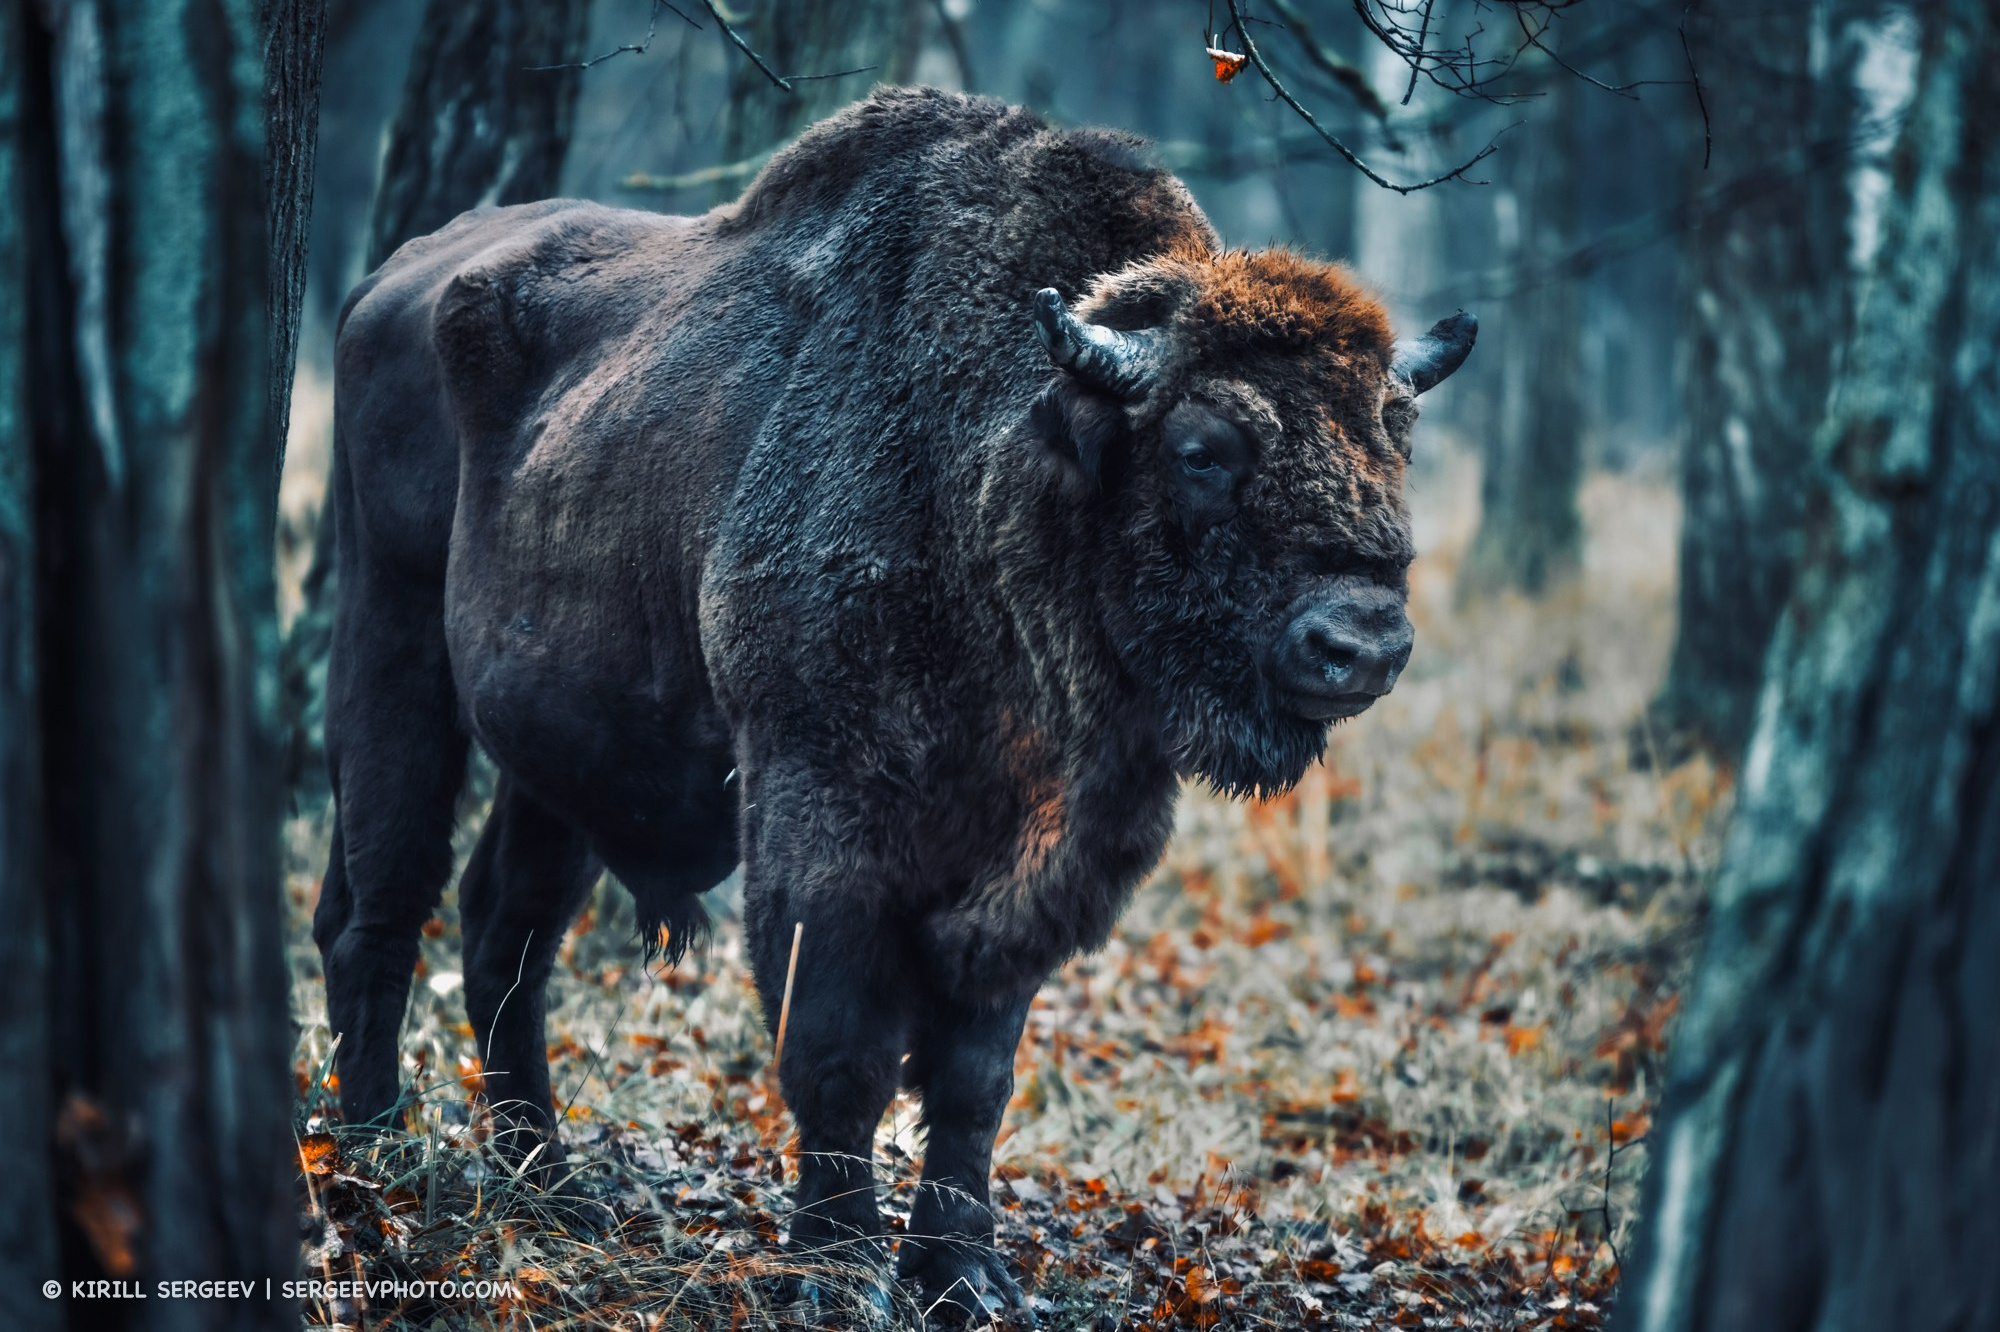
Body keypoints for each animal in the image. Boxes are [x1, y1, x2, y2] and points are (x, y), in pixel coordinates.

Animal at [315, 87, 1473, 1319]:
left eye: (1395, 434)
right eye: (1204, 446)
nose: (1360, 643)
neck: (1003, 461)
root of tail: (393, 279)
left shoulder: (1037, 864)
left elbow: (973, 1077)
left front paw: (964, 1275)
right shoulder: (824, 815)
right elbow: (841, 1051)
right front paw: (833, 1268)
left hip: (566, 751)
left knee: (505, 930)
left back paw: (546, 1182)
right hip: (389, 635)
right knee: (381, 904)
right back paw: (378, 1153)